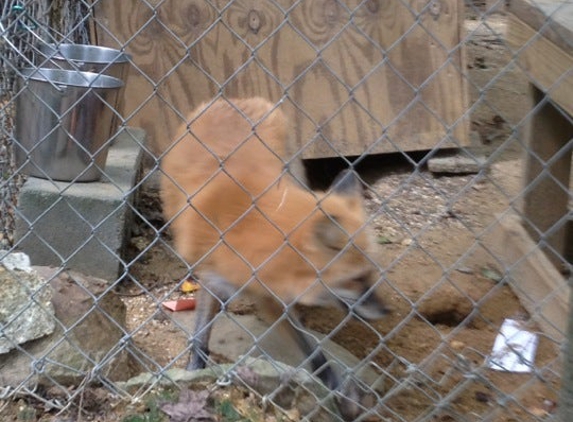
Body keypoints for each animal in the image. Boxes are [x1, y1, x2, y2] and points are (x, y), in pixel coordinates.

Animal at [159, 96, 386, 418]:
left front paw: (338, 391)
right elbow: (200, 338)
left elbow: (314, 353)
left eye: (370, 273)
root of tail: (232, 99)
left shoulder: (272, 295)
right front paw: (192, 373)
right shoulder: (213, 277)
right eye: (357, 278)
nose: (384, 311)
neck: (247, 227)